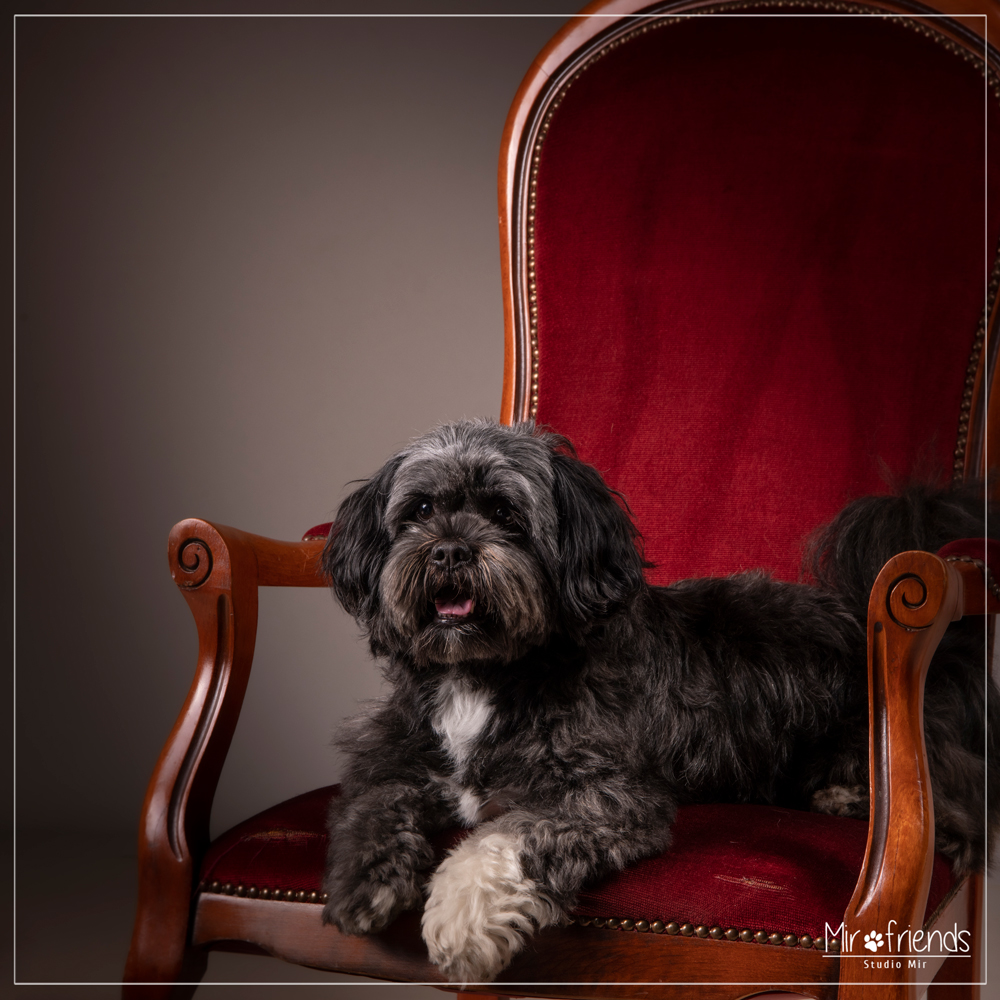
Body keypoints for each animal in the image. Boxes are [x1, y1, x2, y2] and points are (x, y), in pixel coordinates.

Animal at [316, 418, 996, 980]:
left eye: (507, 513)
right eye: (421, 509)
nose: (450, 549)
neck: (484, 673)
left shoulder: (606, 795)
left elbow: (504, 837)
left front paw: (460, 916)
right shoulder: (390, 756)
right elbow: (372, 800)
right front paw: (360, 878)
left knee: (964, 811)